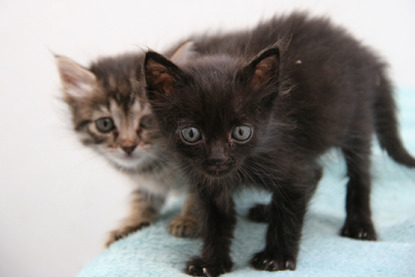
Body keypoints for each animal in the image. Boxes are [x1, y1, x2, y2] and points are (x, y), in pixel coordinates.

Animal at [55, 47, 202, 246]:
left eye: (149, 120)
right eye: (105, 124)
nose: (128, 146)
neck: (156, 166)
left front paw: (189, 219)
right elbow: (141, 197)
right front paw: (132, 223)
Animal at [143, 12, 415, 276]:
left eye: (241, 132)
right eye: (191, 133)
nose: (217, 158)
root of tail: (366, 54)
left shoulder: (288, 161)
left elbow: (289, 214)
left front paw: (277, 257)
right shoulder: (208, 183)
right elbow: (215, 222)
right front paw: (212, 263)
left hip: (356, 120)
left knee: (359, 173)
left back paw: (359, 225)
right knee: (316, 171)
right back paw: (267, 210)